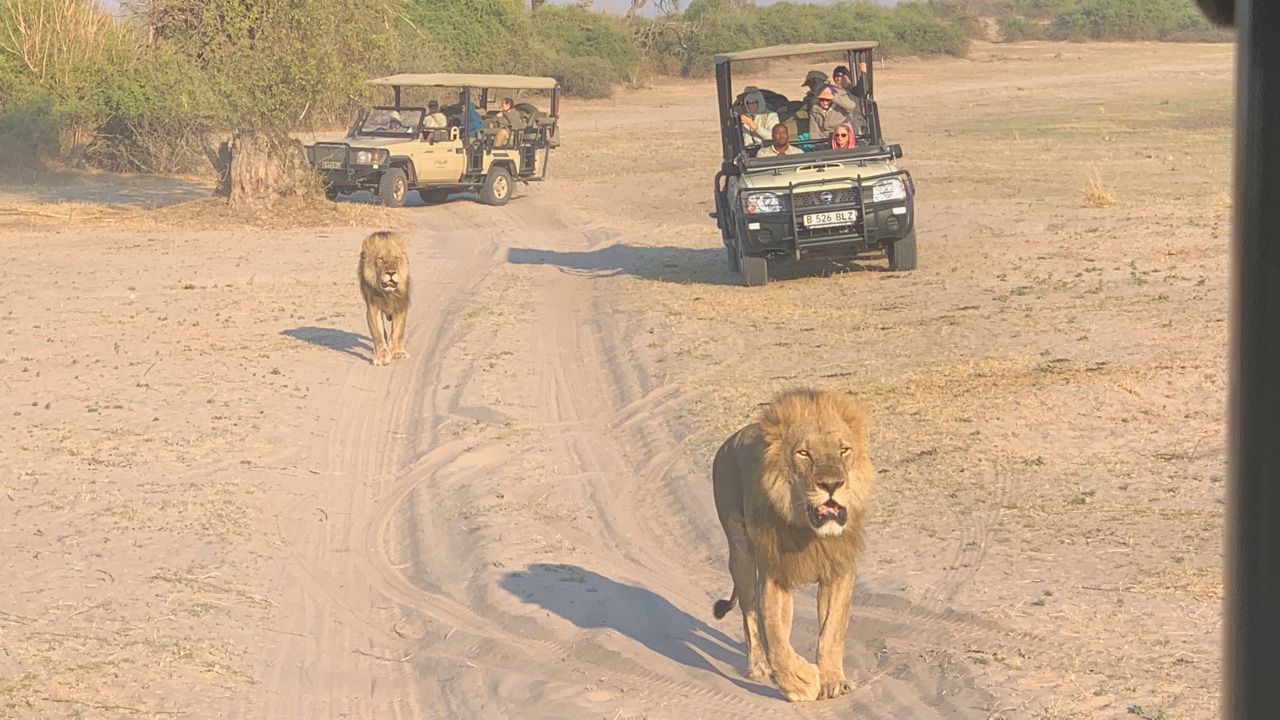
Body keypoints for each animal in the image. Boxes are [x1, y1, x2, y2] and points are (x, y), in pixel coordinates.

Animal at [358, 231, 411, 366]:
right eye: (380, 259)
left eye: (397, 258)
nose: (391, 273)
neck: (387, 293)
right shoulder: (373, 308)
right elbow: (378, 333)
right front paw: (382, 356)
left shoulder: (400, 304)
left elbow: (398, 331)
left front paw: (398, 352)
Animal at [711, 388, 875, 702]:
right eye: (804, 453)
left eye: (844, 451)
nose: (831, 485)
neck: (810, 533)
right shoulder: (775, 574)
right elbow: (775, 638)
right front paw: (801, 682)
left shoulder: (838, 569)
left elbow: (832, 631)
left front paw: (833, 681)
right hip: (741, 554)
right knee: (750, 614)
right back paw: (758, 666)